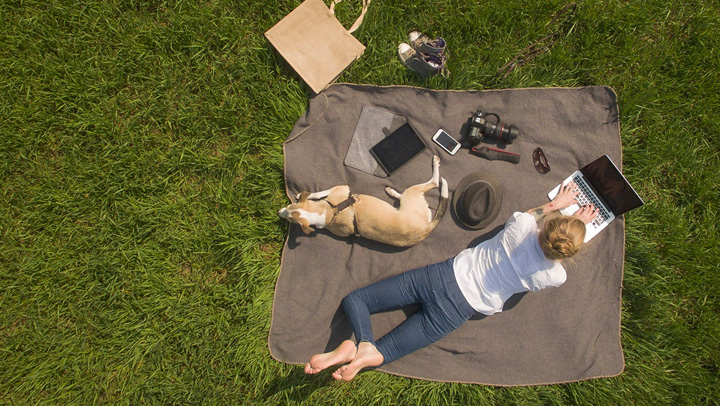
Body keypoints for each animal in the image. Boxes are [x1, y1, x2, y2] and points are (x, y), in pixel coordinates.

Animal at [278, 155, 448, 246]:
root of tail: (426, 228)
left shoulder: (340, 188)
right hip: (409, 197)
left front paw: (306, 195)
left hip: (412, 193)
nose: (279, 213)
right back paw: (392, 191)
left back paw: (435, 163)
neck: (329, 212)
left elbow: (319, 193)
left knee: (434, 183)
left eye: (289, 206)